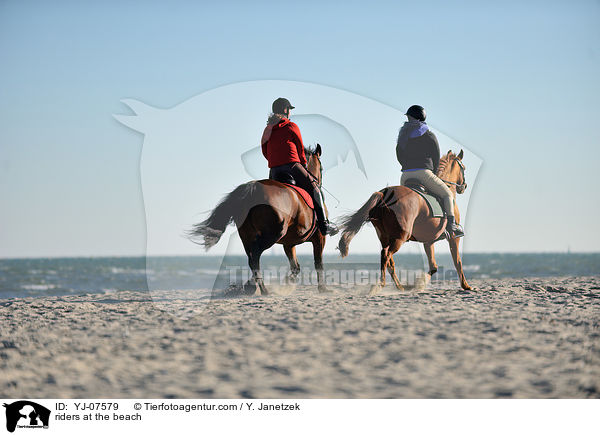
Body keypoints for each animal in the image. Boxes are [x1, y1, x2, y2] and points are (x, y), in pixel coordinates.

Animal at [188, 146, 328, 296]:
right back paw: (262, 289)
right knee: (255, 256)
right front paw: (322, 288)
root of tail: (252, 189)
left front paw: (288, 281)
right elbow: (318, 263)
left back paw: (253, 285)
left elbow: (295, 266)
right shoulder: (319, 238)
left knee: (251, 258)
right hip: (272, 234)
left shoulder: (289, 243)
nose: (318, 181)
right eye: (321, 167)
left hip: (247, 235)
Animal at [340, 148, 472, 294]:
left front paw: (418, 284)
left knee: (388, 260)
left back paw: (400, 287)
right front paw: (466, 286)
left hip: (385, 237)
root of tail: (383, 194)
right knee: (386, 255)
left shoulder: (428, 240)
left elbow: (433, 266)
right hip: (400, 237)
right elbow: (457, 261)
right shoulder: (454, 238)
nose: (464, 186)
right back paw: (380, 285)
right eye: (464, 168)